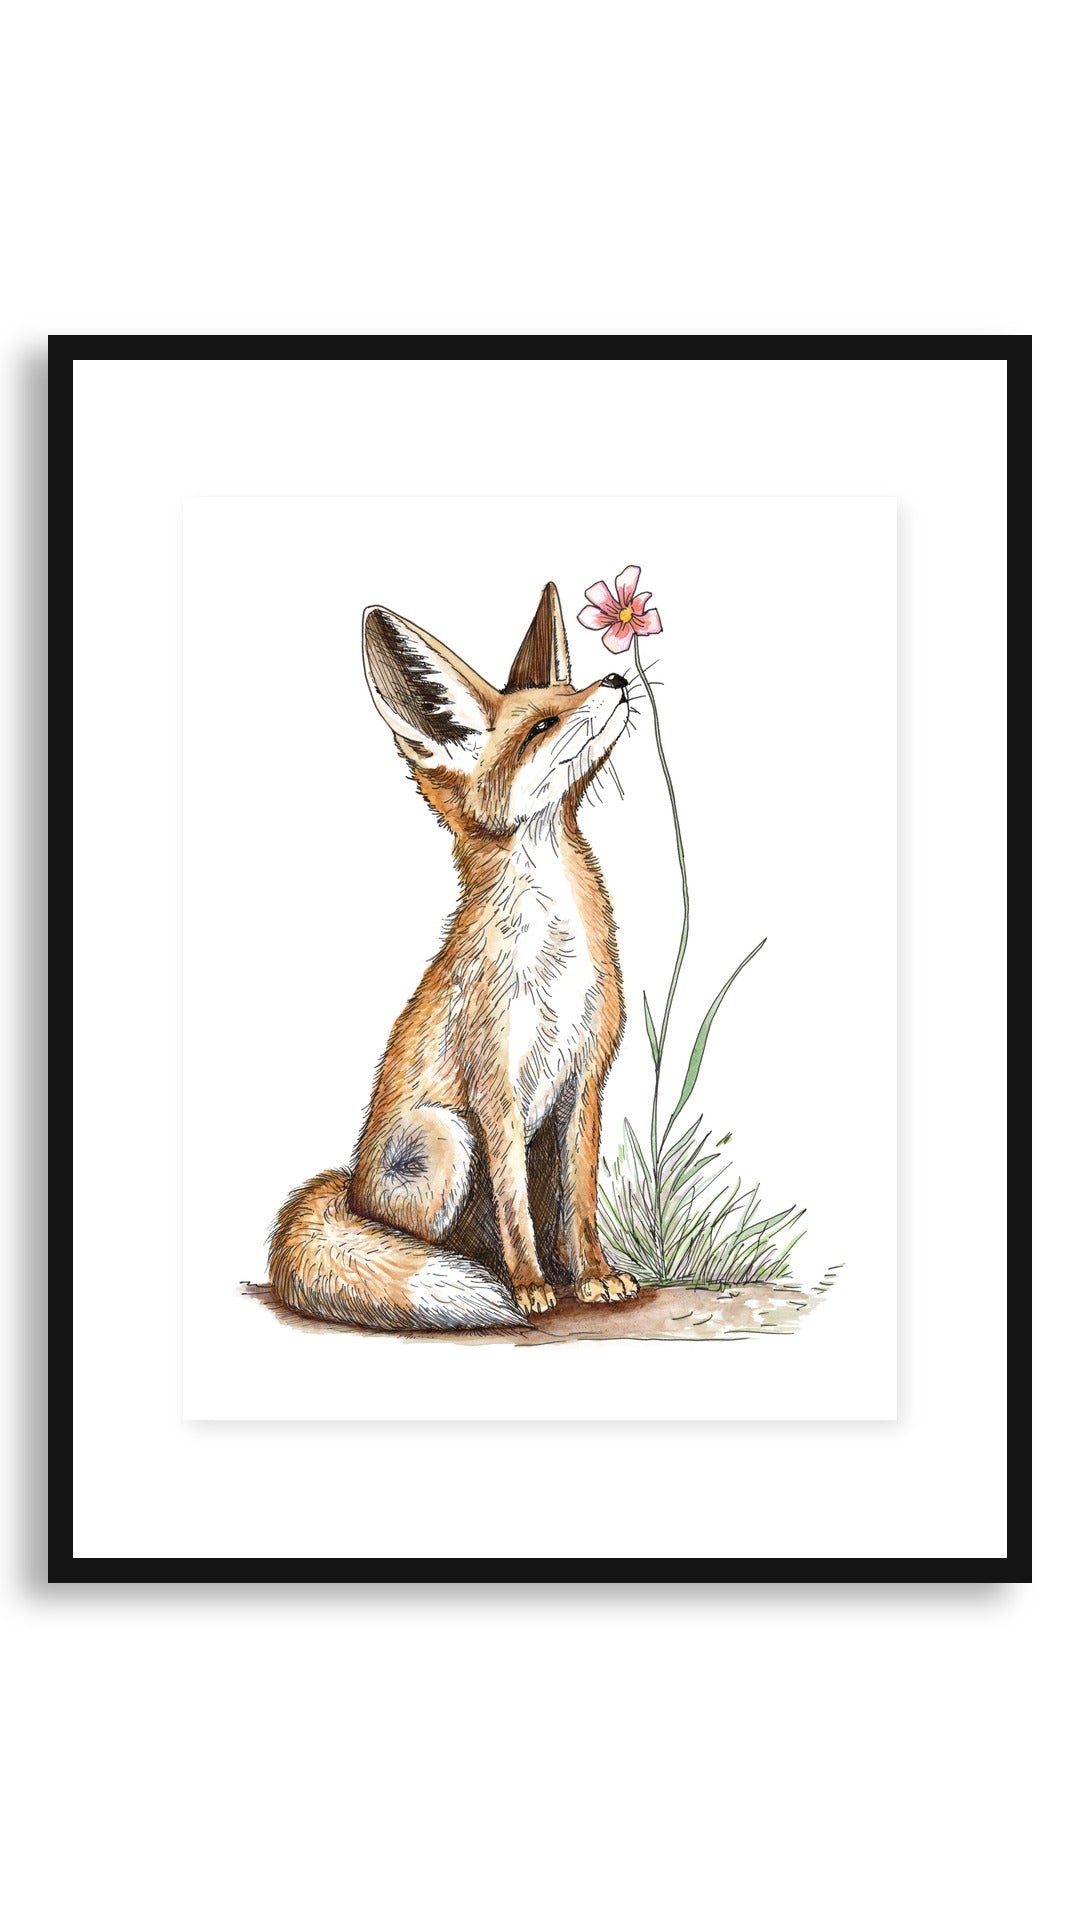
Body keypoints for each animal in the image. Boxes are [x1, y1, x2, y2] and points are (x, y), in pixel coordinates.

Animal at [268, 581, 638, 1332]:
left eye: (573, 689)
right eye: (541, 726)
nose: (616, 678)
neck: (556, 959)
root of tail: (347, 1187)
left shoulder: (586, 1077)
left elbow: (578, 1205)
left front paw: (593, 1277)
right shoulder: (494, 1086)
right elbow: (515, 1207)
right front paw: (527, 1288)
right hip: (448, 1137)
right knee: (415, 1239)